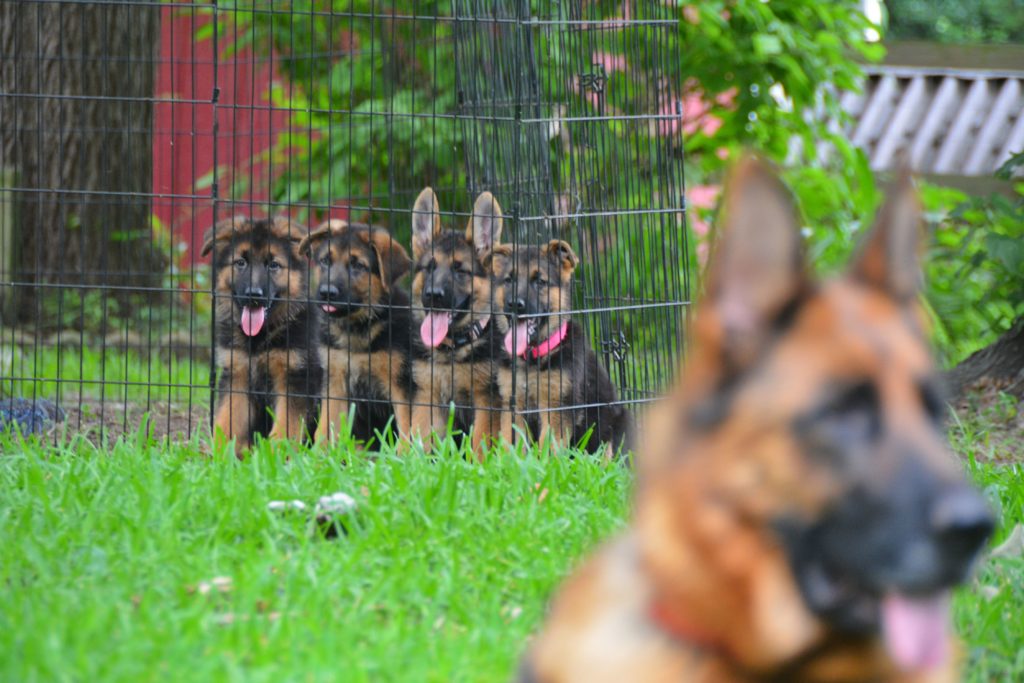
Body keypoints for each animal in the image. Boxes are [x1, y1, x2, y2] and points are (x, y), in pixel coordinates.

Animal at [202, 216, 321, 454]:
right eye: (240, 263)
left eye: (273, 265)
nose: (253, 295)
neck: (259, 340)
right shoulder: (237, 375)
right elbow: (225, 420)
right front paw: (217, 455)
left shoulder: (295, 378)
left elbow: (287, 425)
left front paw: (277, 455)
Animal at [299, 218, 417, 444]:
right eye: (325, 261)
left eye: (357, 265)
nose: (327, 292)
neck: (357, 327)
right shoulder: (335, 383)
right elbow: (324, 431)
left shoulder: (402, 387)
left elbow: (407, 433)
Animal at [407, 187, 503, 454]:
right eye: (429, 268)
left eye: (460, 271)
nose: (433, 295)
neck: (452, 350)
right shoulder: (426, 398)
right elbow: (414, 442)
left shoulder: (487, 401)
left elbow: (480, 445)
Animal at [489, 237, 630, 456]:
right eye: (508, 280)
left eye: (540, 282)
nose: (514, 305)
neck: (533, 358)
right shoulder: (513, 406)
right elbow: (511, 447)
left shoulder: (557, 407)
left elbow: (548, 449)